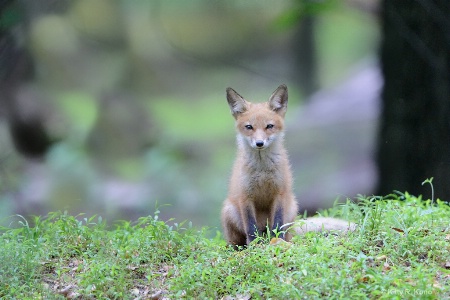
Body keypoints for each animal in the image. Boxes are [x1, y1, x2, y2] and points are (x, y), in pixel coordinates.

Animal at [221, 84, 356, 248]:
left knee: (286, 233)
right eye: (249, 127)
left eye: (269, 126)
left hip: (291, 207)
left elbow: (278, 224)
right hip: (229, 211)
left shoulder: (280, 192)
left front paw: (277, 241)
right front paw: (255, 245)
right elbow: (251, 227)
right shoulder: (245, 196)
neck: (262, 169)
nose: (259, 143)